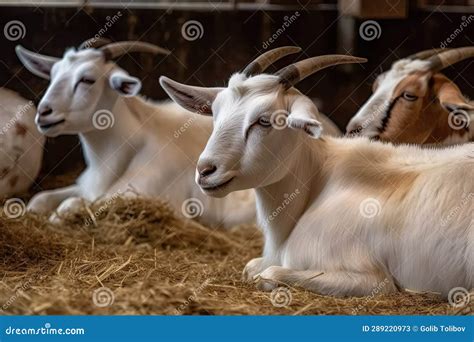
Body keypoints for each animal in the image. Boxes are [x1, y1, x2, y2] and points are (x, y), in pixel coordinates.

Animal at [13, 40, 308, 227]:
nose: (44, 113)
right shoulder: (87, 186)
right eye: (52, 74)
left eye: (87, 79)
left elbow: (67, 207)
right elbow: (39, 200)